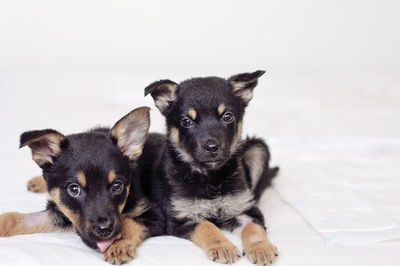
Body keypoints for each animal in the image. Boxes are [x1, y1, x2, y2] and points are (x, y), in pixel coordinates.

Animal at [0, 106, 164, 264]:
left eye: (117, 186)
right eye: (74, 189)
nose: (105, 230)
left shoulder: (156, 216)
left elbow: (128, 222)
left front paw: (118, 245)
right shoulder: (60, 210)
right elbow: (14, 218)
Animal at [142, 70, 280, 264]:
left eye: (227, 116)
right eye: (186, 121)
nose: (212, 147)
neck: (211, 178)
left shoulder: (246, 210)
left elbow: (253, 229)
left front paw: (261, 249)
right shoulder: (181, 218)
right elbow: (207, 226)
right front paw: (223, 247)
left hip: (258, 148)